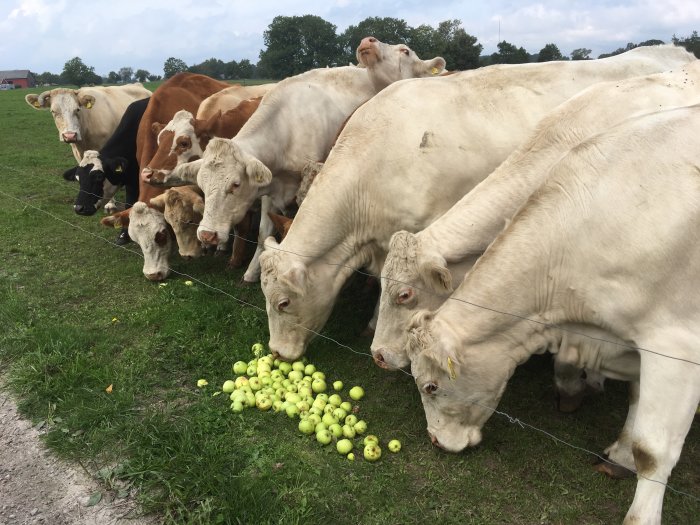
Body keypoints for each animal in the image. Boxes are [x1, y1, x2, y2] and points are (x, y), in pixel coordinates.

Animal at [148, 37, 446, 282]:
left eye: (234, 185)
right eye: (202, 185)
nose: (206, 235)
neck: (285, 126)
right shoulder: (268, 189)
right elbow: (263, 232)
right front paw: (252, 271)